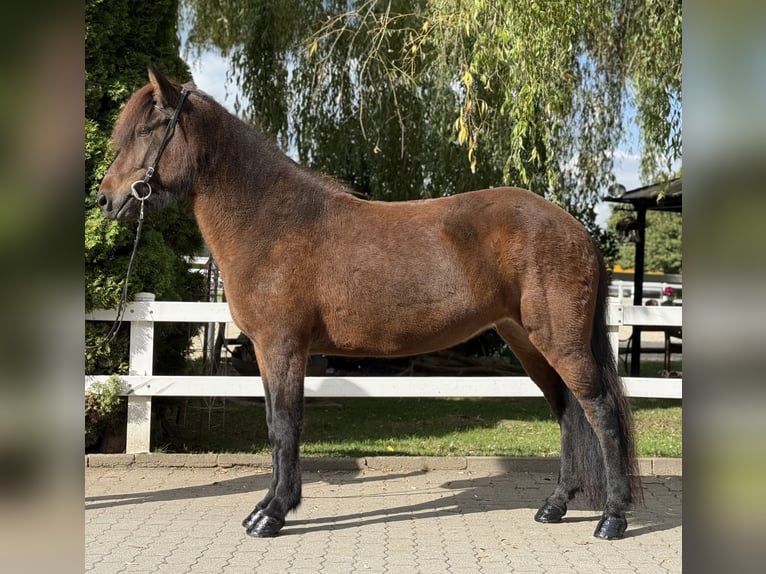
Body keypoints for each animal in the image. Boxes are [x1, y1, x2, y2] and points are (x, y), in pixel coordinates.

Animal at [98, 67, 641, 540]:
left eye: (148, 128)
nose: (106, 199)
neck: (272, 222)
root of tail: (575, 229)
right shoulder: (267, 352)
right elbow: (275, 424)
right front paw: (264, 507)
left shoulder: (282, 347)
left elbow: (285, 426)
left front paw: (274, 514)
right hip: (527, 342)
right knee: (567, 411)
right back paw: (554, 506)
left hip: (560, 343)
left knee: (600, 413)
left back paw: (612, 519)